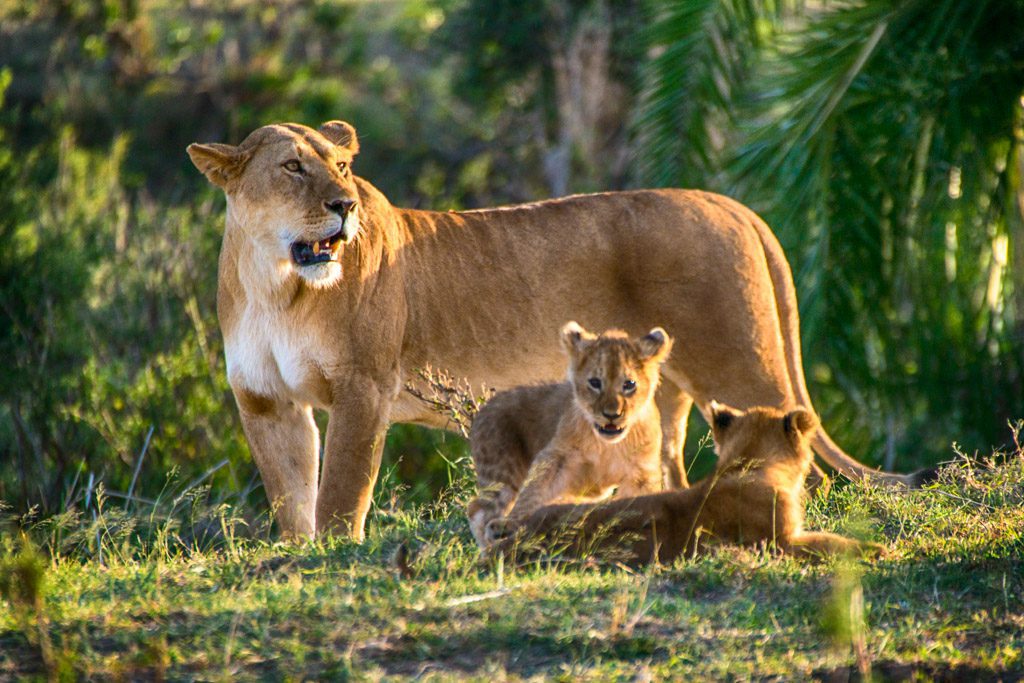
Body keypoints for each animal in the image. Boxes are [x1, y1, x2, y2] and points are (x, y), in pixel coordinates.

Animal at [467, 322, 672, 547]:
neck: (606, 444)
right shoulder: (557, 457)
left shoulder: (641, 474)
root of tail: (485, 406)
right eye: (595, 382)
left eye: (629, 384)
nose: (611, 415)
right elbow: (534, 490)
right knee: (478, 508)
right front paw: (512, 524)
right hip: (502, 471)